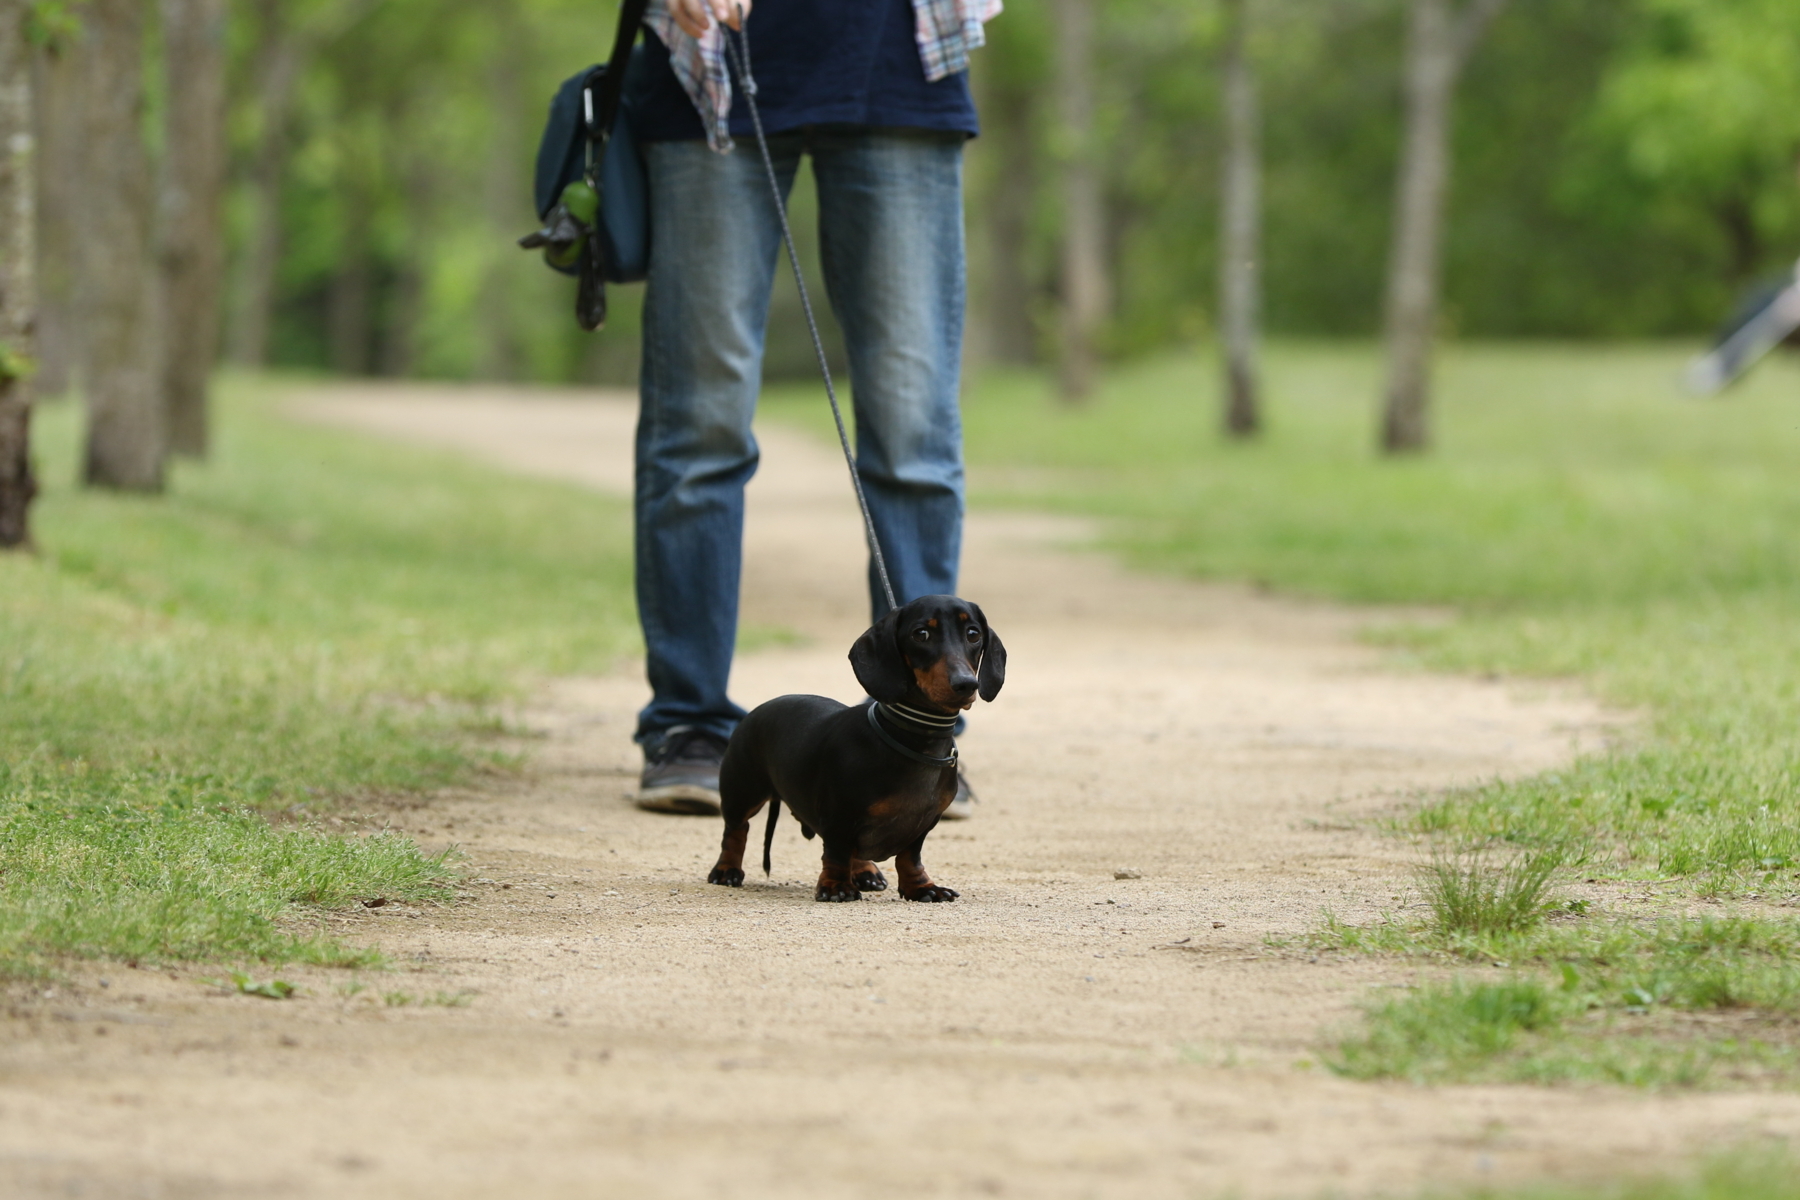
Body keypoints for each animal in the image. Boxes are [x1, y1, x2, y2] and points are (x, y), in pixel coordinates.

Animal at [702, 597, 1008, 906]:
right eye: (921, 634)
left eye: (973, 634)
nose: (966, 683)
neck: (915, 739)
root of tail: (757, 710)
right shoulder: (839, 817)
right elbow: (837, 853)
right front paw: (836, 886)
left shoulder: (923, 824)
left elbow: (909, 858)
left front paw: (922, 888)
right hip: (742, 791)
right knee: (736, 830)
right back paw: (726, 870)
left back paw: (865, 871)